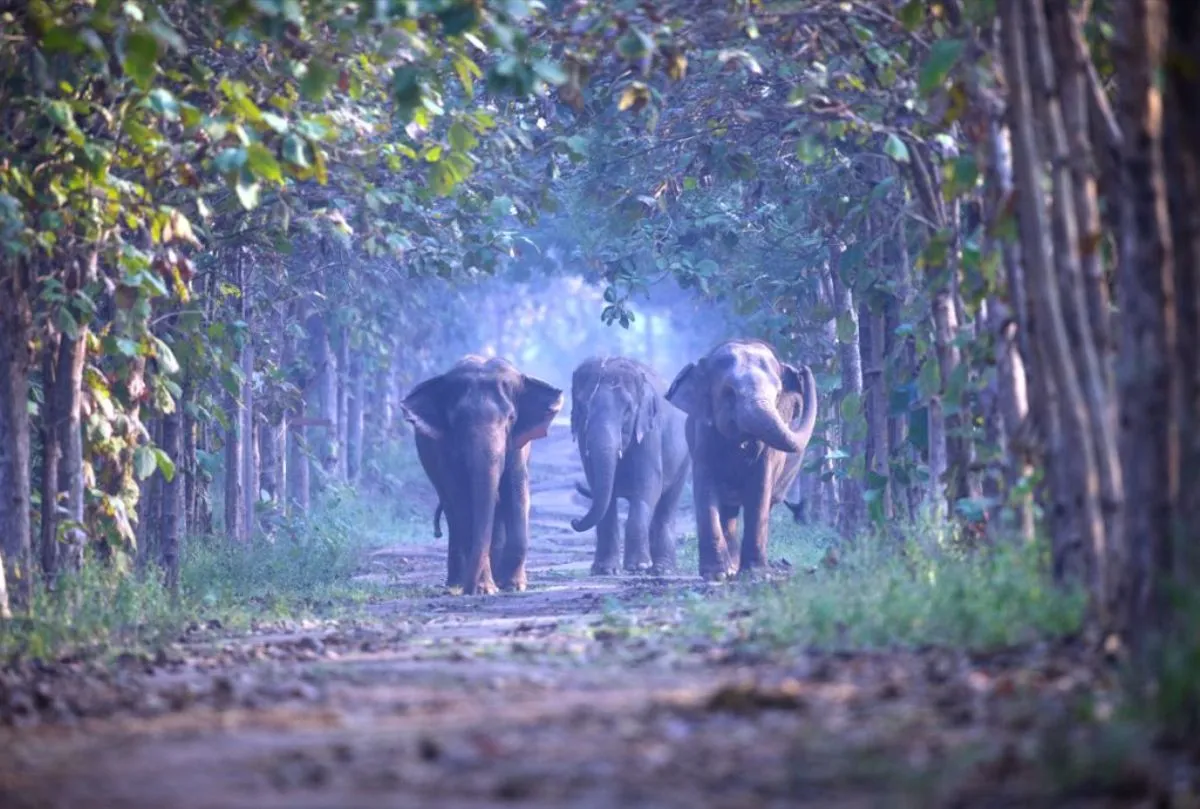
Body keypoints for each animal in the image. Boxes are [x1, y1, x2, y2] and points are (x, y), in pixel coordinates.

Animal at [400, 355, 564, 595]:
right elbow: (461, 498)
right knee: (453, 512)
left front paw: (513, 586)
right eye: (457, 420)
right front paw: (484, 589)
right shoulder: (445, 450)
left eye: (511, 418)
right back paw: (456, 583)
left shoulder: (518, 444)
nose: (469, 589)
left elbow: (516, 491)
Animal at [569, 356, 691, 575]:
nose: (574, 521)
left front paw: (638, 567)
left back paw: (662, 569)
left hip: (684, 458)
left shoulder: (650, 430)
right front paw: (605, 570)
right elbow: (598, 485)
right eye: (583, 409)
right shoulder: (583, 438)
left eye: (627, 410)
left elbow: (649, 483)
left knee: (667, 505)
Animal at [665, 339, 818, 580]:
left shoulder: (768, 454)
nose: (802, 369)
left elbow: (760, 488)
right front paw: (716, 575)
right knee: (728, 510)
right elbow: (705, 487)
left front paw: (755, 574)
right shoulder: (702, 438)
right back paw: (730, 569)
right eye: (729, 393)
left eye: (778, 395)